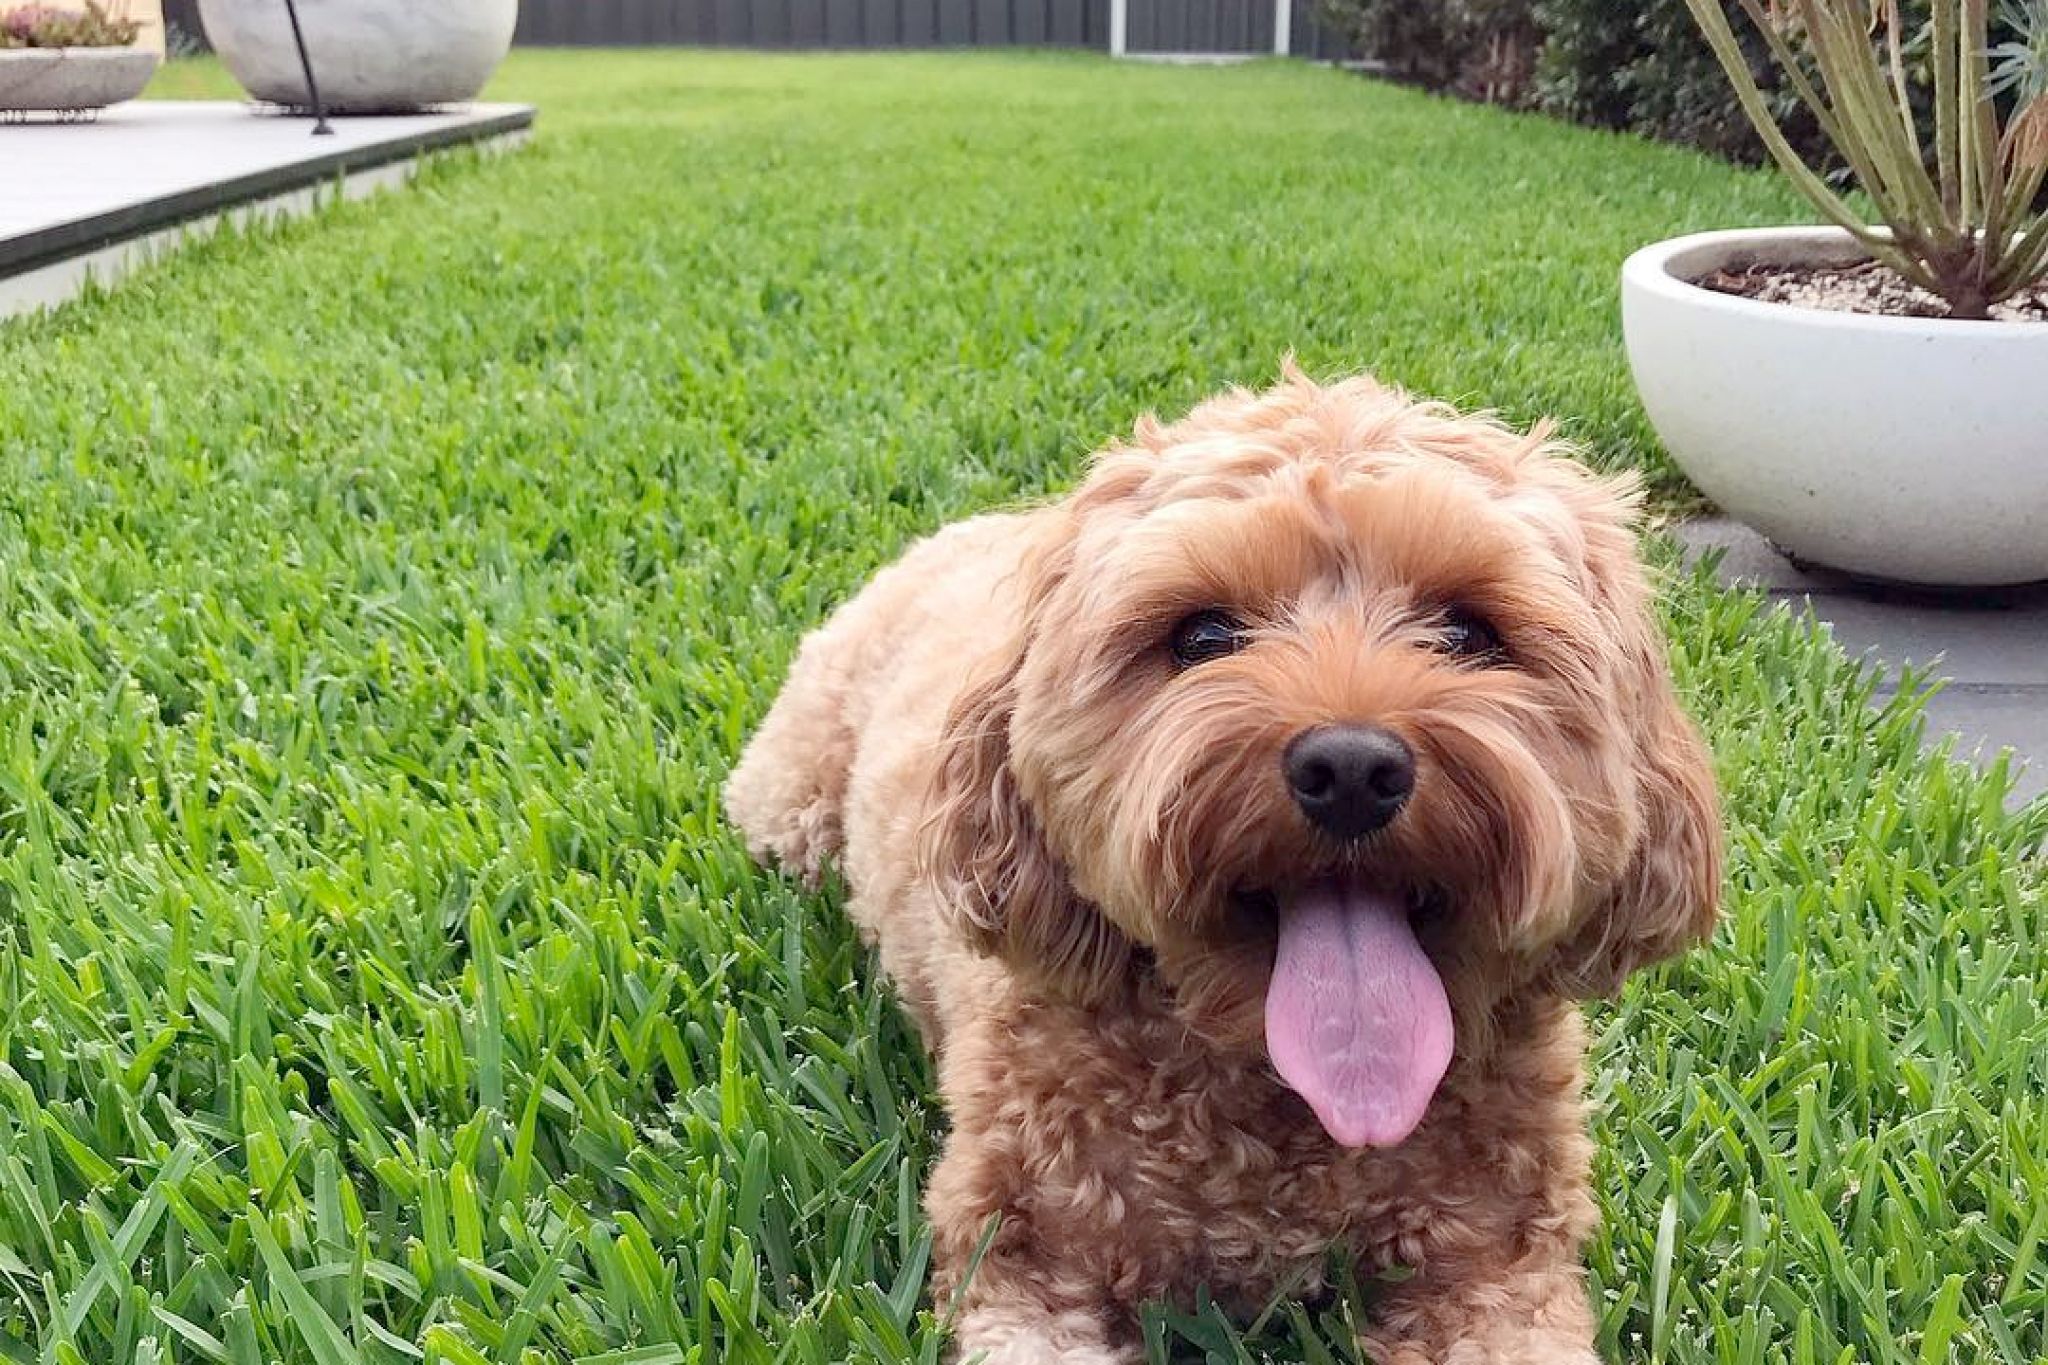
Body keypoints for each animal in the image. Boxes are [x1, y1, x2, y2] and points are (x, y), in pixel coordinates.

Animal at [729, 368, 1720, 1358]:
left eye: (1466, 633)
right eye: (1203, 636)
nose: (1351, 769)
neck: (1283, 1109)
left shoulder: (1502, 1266)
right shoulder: (1022, 1258)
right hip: (791, 801)